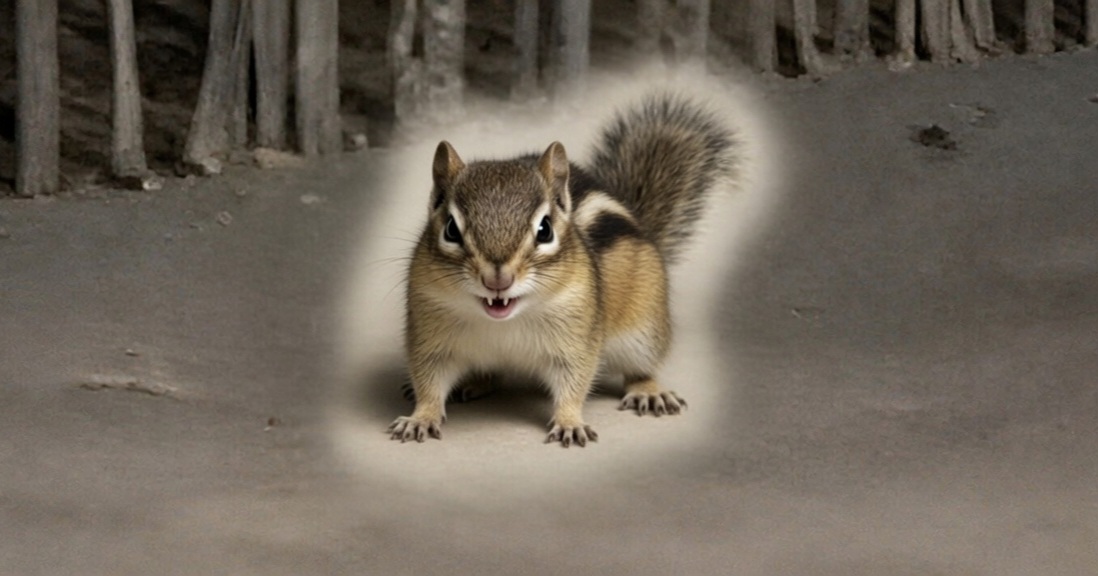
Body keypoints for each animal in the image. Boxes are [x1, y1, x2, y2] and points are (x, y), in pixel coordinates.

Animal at [388, 93, 740, 447]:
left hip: (643, 333)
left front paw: (569, 422)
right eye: (450, 229)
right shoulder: (430, 334)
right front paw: (421, 417)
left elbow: (575, 382)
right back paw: (472, 382)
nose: (497, 279)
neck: (503, 323)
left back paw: (648, 390)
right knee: (491, 373)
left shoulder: (577, 338)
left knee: (640, 368)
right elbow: (429, 383)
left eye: (545, 230)